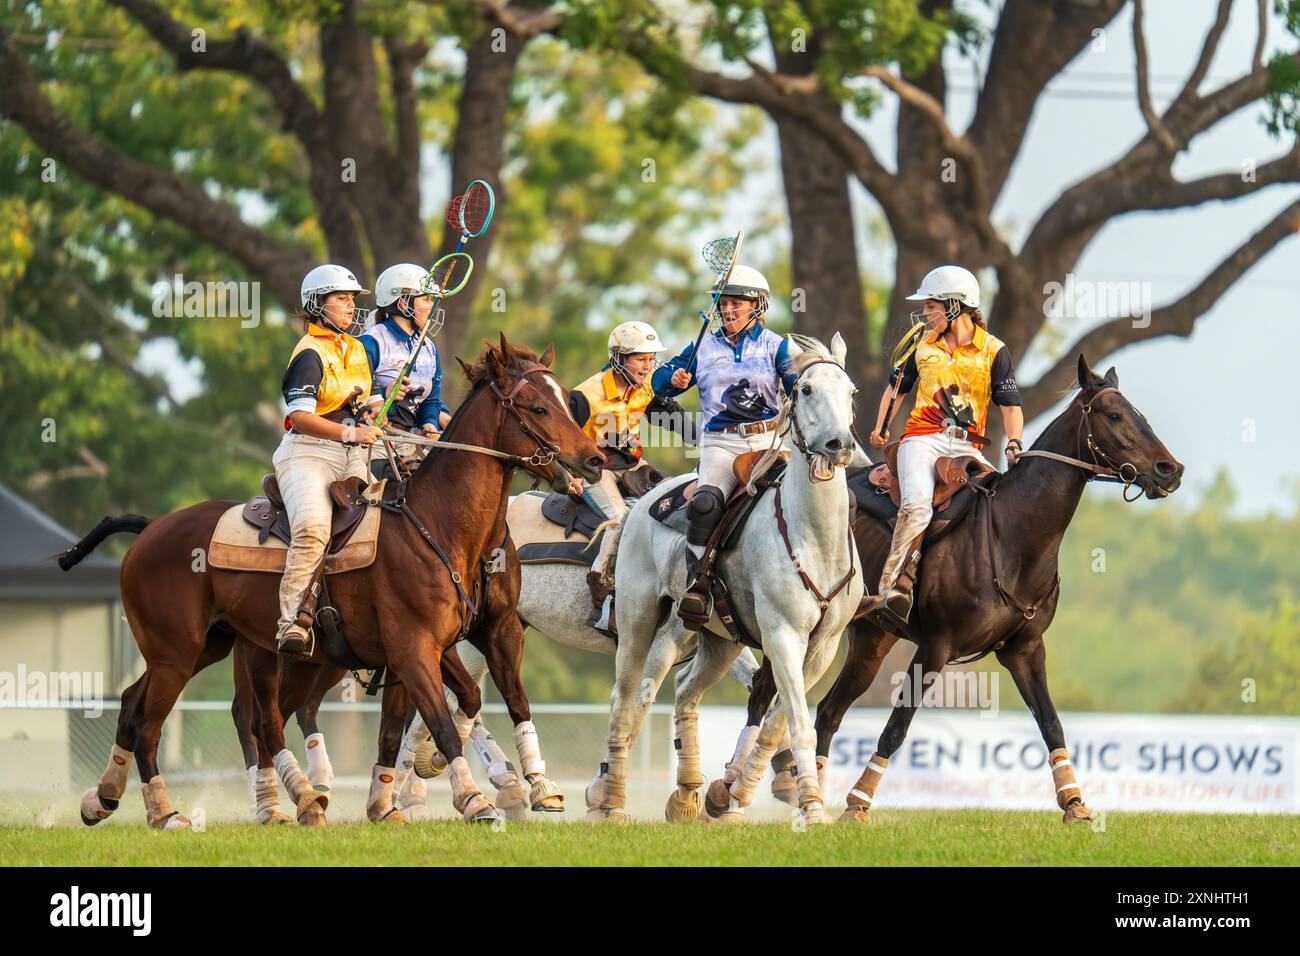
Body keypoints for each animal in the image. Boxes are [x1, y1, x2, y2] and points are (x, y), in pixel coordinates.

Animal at [58, 338, 605, 832]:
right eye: (538, 406)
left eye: (566, 400)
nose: (595, 460)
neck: (440, 525)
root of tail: (152, 527)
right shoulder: (413, 648)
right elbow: (445, 723)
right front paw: (475, 800)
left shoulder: (465, 638)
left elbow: (451, 710)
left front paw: (395, 800)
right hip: (179, 652)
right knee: (160, 724)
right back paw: (171, 812)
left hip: (216, 648)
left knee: (161, 707)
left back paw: (107, 798)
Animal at [585, 335, 857, 822]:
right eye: (806, 389)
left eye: (851, 393)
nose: (838, 443)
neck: (813, 538)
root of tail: (641, 503)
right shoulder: (783, 636)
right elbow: (799, 724)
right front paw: (812, 808)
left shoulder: (822, 648)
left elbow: (777, 724)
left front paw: (742, 797)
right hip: (637, 622)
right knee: (626, 702)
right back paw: (612, 802)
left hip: (719, 640)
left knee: (684, 692)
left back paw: (687, 795)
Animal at [717, 356, 1185, 822]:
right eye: (1114, 415)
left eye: (1139, 414)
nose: (1171, 470)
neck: (1011, 536)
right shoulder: (936, 647)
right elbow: (896, 727)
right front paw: (859, 802)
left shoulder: (1025, 650)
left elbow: (1051, 723)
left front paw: (1075, 802)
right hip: (798, 631)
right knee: (765, 694)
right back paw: (732, 792)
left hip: (871, 639)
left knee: (828, 711)